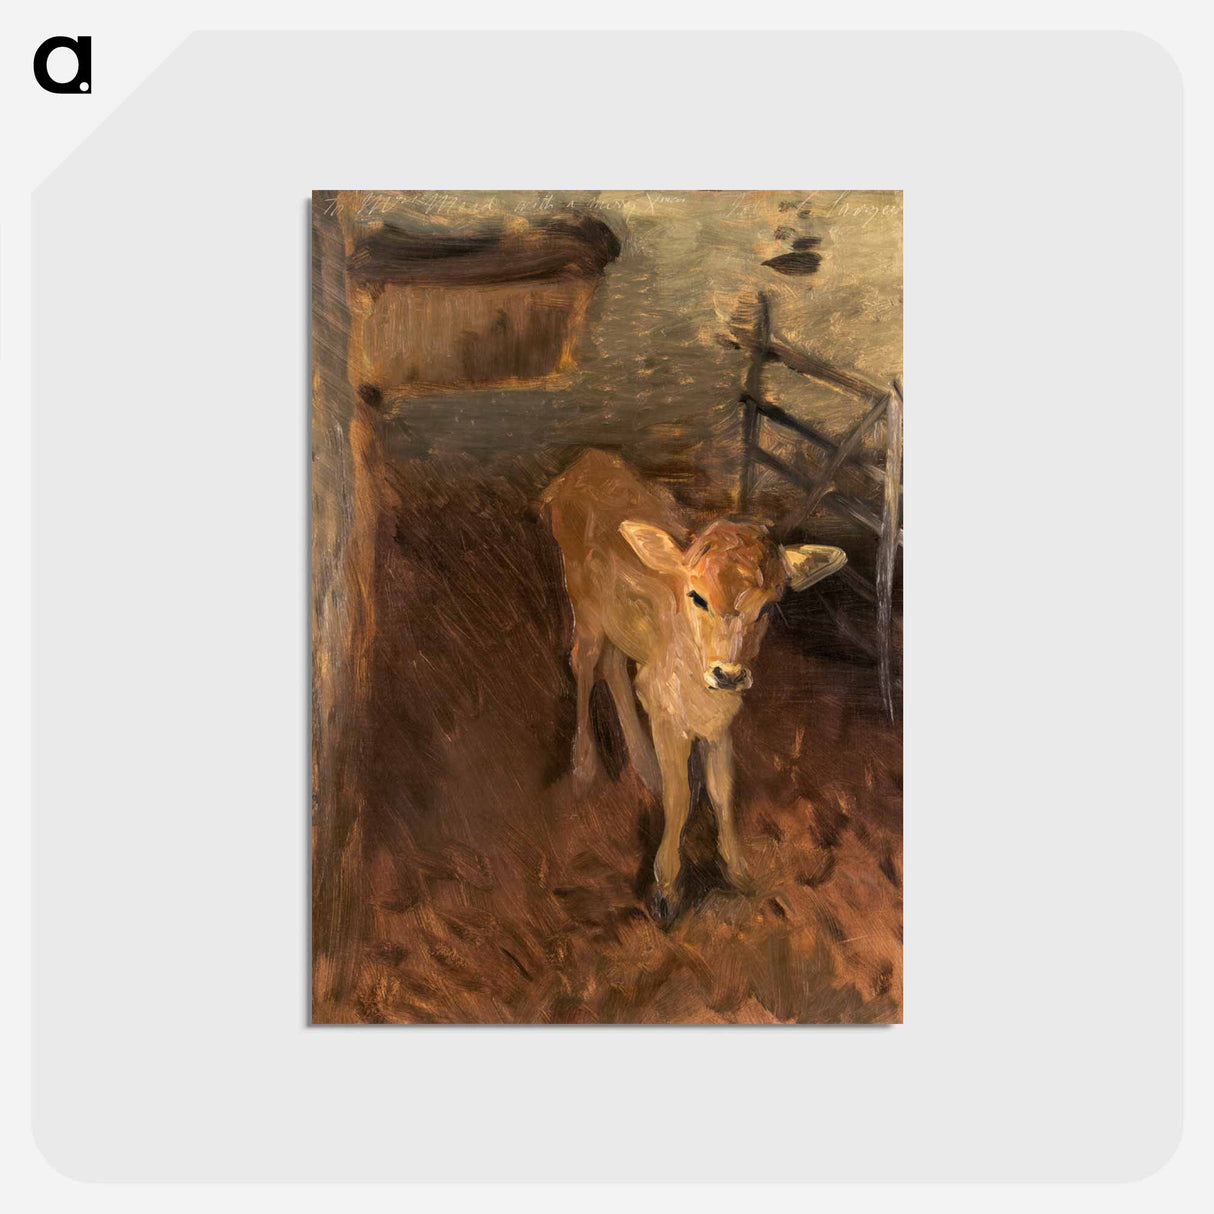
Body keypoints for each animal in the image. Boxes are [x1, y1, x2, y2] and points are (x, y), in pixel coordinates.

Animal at [541, 450, 847, 921]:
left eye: (768, 607)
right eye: (697, 596)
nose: (729, 673)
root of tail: (581, 464)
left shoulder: (718, 720)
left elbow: (722, 791)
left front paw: (738, 871)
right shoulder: (669, 713)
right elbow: (680, 796)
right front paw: (666, 889)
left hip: (617, 625)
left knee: (613, 666)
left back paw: (644, 765)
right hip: (583, 603)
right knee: (583, 662)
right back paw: (585, 764)